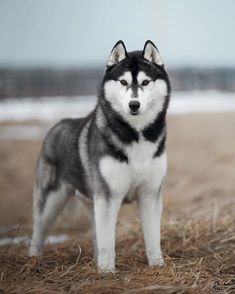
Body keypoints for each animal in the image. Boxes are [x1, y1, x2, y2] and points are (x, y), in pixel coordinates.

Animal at [29, 40, 171, 272]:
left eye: (145, 82)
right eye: (123, 82)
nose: (134, 105)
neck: (136, 135)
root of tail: (56, 126)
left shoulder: (149, 193)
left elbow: (152, 237)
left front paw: (157, 264)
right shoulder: (108, 196)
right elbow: (107, 241)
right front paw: (106, 271)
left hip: (91, 200)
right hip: (51, 201)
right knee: (39, 230)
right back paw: (33, 260)